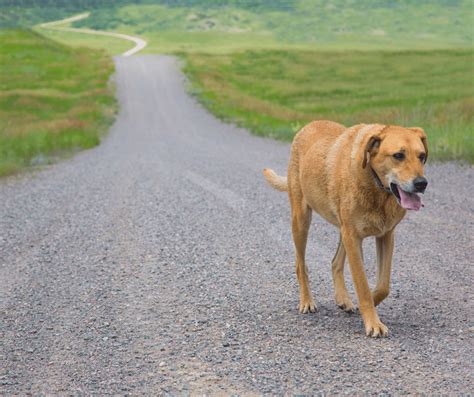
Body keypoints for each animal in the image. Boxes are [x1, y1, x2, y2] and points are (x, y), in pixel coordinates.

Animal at [264, 120, 428, 338]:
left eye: (422, 156)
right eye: (398, 155)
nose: (421, 184)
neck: (375, 186)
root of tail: (308, 125)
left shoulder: (385, 235)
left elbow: (383, 286)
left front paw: (368, 304)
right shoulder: (353, 237)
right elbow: (362, 285)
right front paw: (373, 322)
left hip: (343, 229)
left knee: (335, 262)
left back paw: (343, 299)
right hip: (302, 221)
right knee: (301, 265)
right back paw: (307, 301)